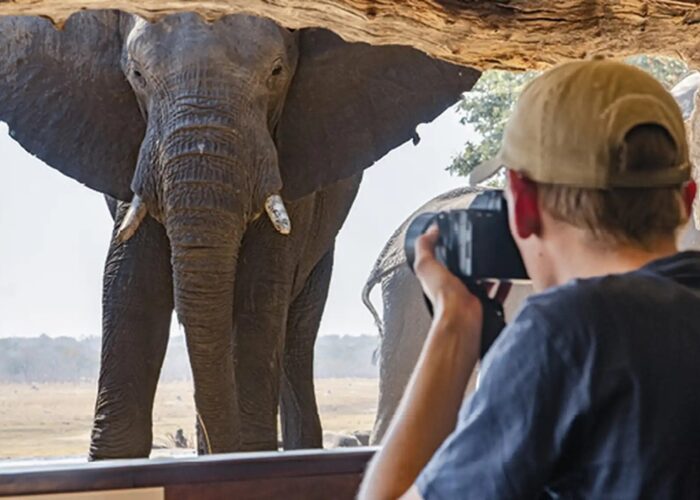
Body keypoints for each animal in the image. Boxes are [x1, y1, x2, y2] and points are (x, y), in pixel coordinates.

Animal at [0, 11, 481, 457]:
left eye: (277, 72)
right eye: (136, 75)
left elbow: (258, 292)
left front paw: (248, 451)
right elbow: (130, 284)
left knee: (294, 333)